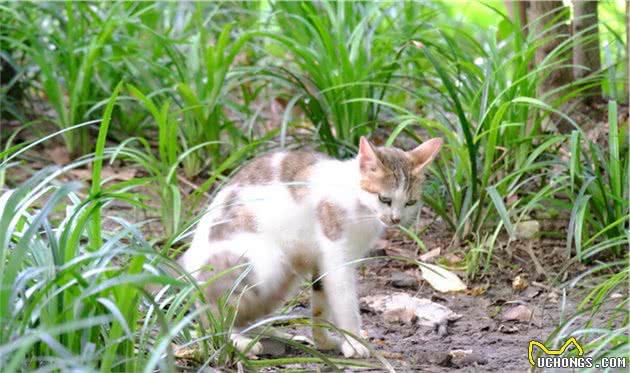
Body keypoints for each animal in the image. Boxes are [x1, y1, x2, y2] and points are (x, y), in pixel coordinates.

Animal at [178, 135, 444, 356]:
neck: (359, 205)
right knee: (215, 317)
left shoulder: (322, 263)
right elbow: (346, 303)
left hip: (283, 280)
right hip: (264, 264)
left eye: (410, 202)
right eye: (384, 199)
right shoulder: (337, 257)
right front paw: (355, 342)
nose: (396, 219)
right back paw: (237, 340)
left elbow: (320, 306)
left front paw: (324, 341)